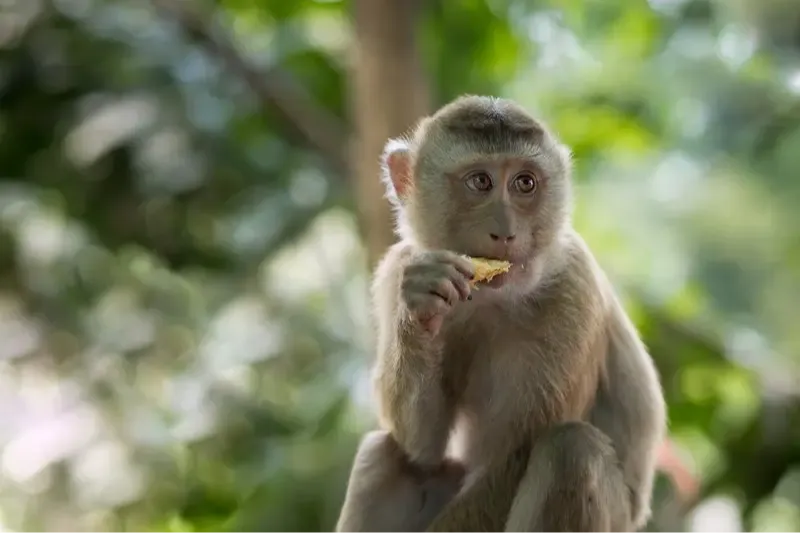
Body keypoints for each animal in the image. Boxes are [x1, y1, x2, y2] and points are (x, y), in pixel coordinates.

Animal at [335, 95, 667, 533]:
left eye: (525, 183)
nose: (505, 231)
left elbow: (513, 460)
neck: (490, 299)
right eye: (480, 182)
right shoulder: (397, 271)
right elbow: (420, 448)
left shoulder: (573, 289)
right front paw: (422, 303)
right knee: (388, 454)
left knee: (570, 448)